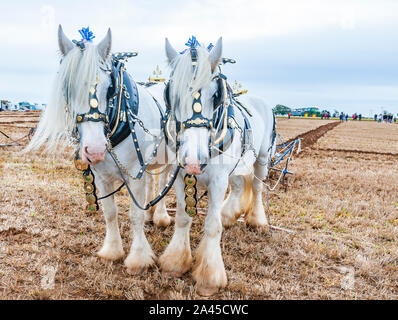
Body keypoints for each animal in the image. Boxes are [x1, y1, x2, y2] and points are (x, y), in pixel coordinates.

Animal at [26, 26, 173, 274]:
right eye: (67, 88)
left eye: (109, 88)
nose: (95, 150)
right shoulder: (102, 176)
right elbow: (110, 212)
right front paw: (112, 250)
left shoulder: (133, 174)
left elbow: (134, 214)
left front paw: (138, 257)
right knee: (151, 183)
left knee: (162, 182)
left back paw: (161, 216)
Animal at [158, 37, 274, 296]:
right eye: (172, 94)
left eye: (216, 95)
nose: (193, 160)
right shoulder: (180, 177)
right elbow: (183, 218)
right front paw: (175, 263)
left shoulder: (218, 180)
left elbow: (212, 226)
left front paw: (209, 277)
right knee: (239, 186)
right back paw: (229, 215)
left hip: (262, 159)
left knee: (257, 188)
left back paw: (256, 220)